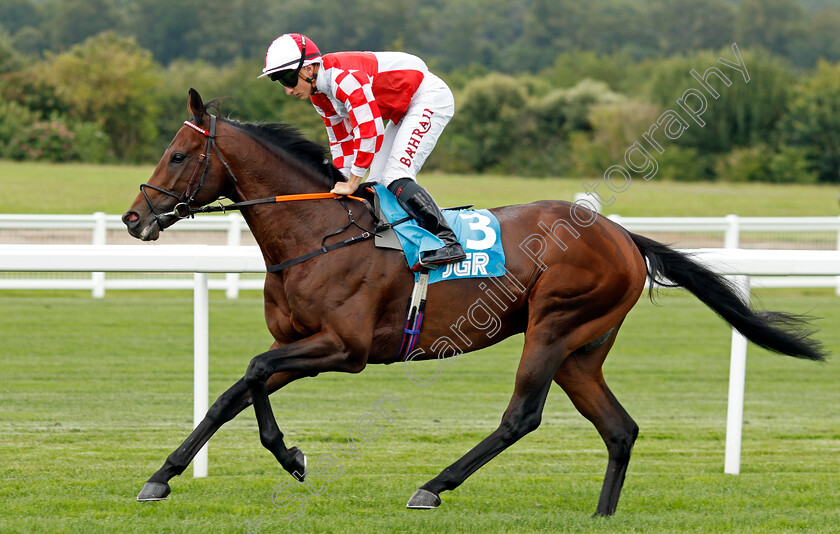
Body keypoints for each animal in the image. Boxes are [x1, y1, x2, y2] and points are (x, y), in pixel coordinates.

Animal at [121, 90, 824, 516]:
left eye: (178, 155)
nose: (133, 218)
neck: (316, 233)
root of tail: (623, 234)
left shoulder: (344, 349)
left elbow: (253, 372)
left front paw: (289, 457)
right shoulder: (301, 343)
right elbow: (235, 390)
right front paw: (166, 474)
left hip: (553, 326)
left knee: (522, 417)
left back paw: (433, 487)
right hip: (582, 351)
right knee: (619, 428)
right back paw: (601, 515)